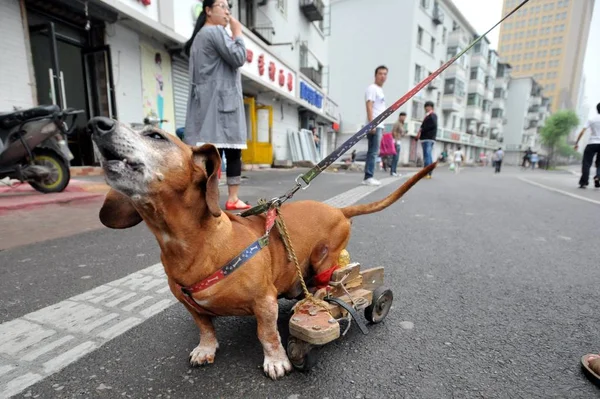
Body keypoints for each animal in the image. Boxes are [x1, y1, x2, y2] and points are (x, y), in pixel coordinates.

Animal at [89, 116, 434, 382]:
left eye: (156, 136)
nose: (96, 123)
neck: (193, 245)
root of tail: (339, 210)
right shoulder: (190, 305)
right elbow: (205, 326)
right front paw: (206, 349)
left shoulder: (264, 302)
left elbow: (267, 334)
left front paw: (277, 360)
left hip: (323, 256)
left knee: (329, 283)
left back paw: (323, 298)